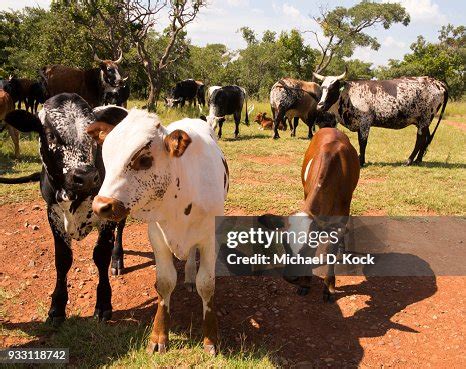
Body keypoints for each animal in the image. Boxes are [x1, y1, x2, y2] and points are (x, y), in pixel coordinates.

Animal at [3, 93, 129, 324]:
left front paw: (103, 304)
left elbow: (101, 255)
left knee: (121, 228)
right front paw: (57, 307)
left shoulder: (106, 215)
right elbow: (62, 259)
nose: (86, 176)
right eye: (50, 135)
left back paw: (118, 259)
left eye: (93, 134)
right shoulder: (53, 213)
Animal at [86, 111, 228, 354]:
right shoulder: (157, 236)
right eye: (106, 156)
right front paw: (159, 335)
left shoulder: (210, 239)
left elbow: (207, 285)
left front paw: (211, 338)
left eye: (144, 160)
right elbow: (164, 283)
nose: (100, 206)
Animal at [314, 69, 448, 167]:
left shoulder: (365, 123)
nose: (320, 106)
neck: (349, 95)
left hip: (425, 118)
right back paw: (418, 159)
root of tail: (437, 82)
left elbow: (362, 143)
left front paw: (361, 162)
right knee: (426, 138)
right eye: (322, 87)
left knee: (420, 139)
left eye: (333, 88)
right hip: (423, 121)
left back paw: (409, 161)